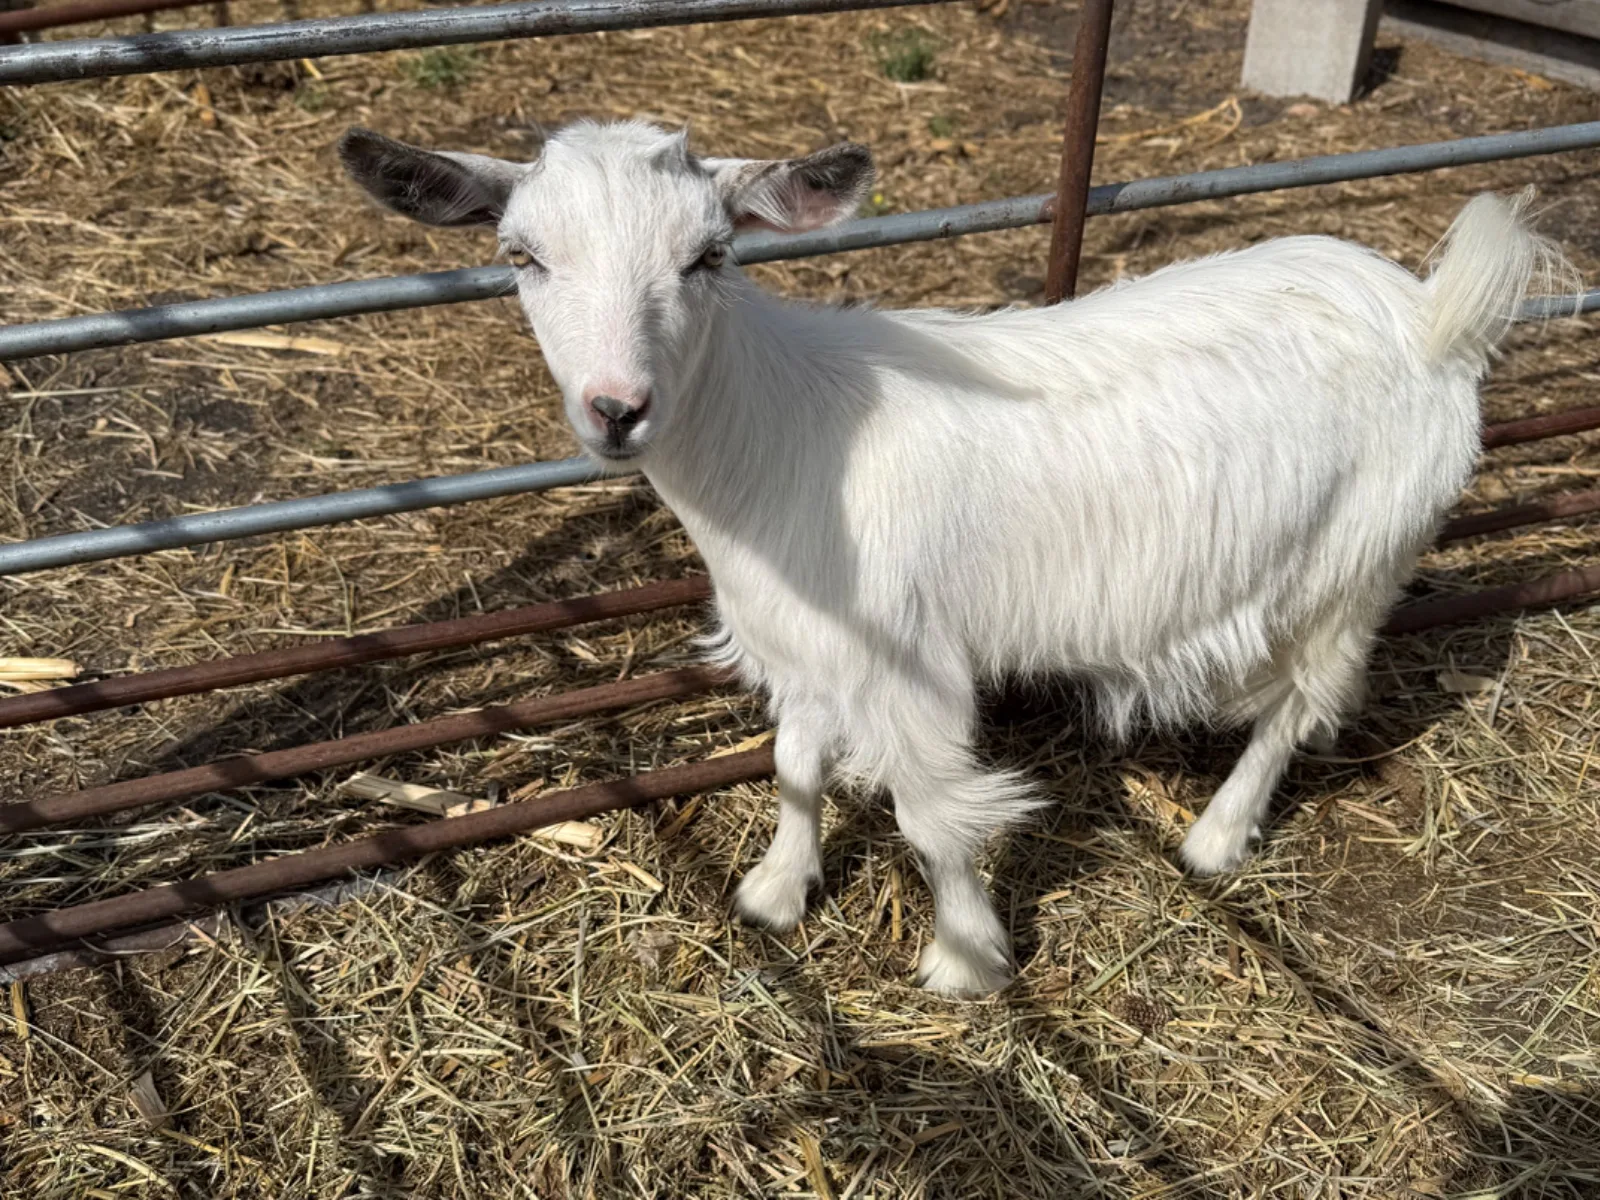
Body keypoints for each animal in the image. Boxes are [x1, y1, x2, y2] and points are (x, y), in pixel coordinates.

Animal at [340, 119, 1570, 996]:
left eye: (708, 255)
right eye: (521, 255)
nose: (615, 409)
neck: (775, 433)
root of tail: (1431, 312)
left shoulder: (909, 658)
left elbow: (934, 816)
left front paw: (967, 961)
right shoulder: (801, 640)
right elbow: (793, 764)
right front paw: (776, 891)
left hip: (1356, 559)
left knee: (1299, 704)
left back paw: (1217, 837)